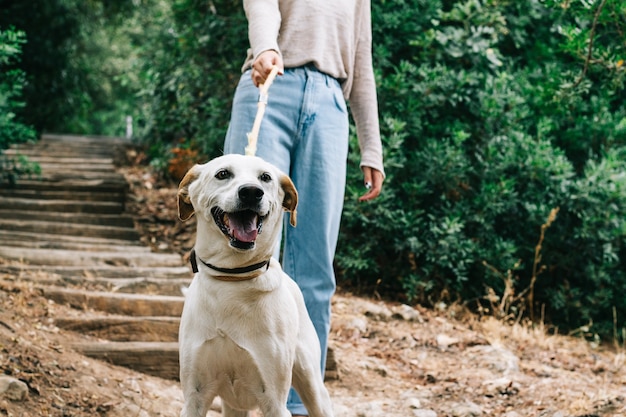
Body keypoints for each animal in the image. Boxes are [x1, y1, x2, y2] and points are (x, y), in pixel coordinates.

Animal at [177, 154, 332, 416]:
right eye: (222, 174)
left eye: (265, 177)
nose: (251, 192)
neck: (232, 278)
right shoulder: (193, 399)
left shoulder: (275, 402)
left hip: (312, 385)